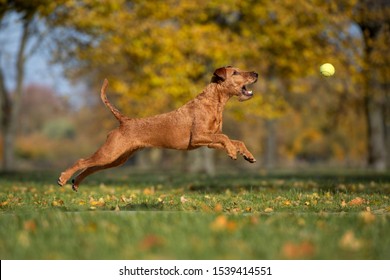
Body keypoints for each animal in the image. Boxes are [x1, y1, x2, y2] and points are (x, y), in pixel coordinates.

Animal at [58, 65, 258, 190]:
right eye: (235, 72)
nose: (256, 74)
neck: (214, 102)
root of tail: (125, 121)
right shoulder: (199, 136)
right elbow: (225, 138)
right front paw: (232, 152)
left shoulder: (209, 141)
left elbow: (235, 140)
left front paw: (247, 155)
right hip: (110, 153)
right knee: (82, 161)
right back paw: (63, 178)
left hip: (117, 158)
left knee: (91, 167)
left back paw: (75, 183)